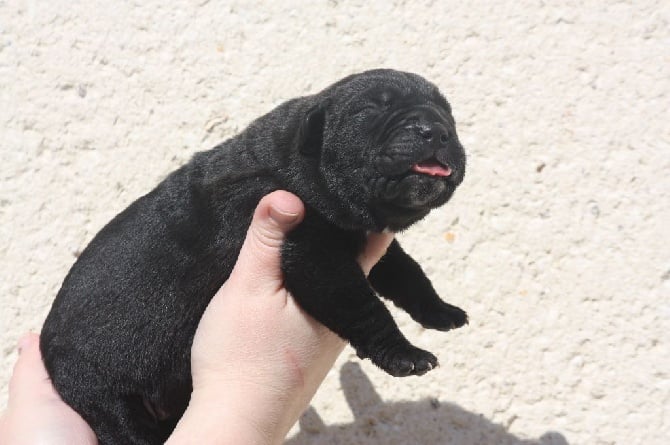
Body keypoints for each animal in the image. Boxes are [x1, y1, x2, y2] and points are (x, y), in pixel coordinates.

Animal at [39, 67, 470, 442]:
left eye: (449, 114)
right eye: (374, 108)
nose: (437, 131)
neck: (299, 165)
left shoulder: (361, 241)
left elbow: (407, 273)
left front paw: (441, 311)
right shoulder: (313, 256)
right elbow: (364, 306)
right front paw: (404, 354)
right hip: (106, 398)